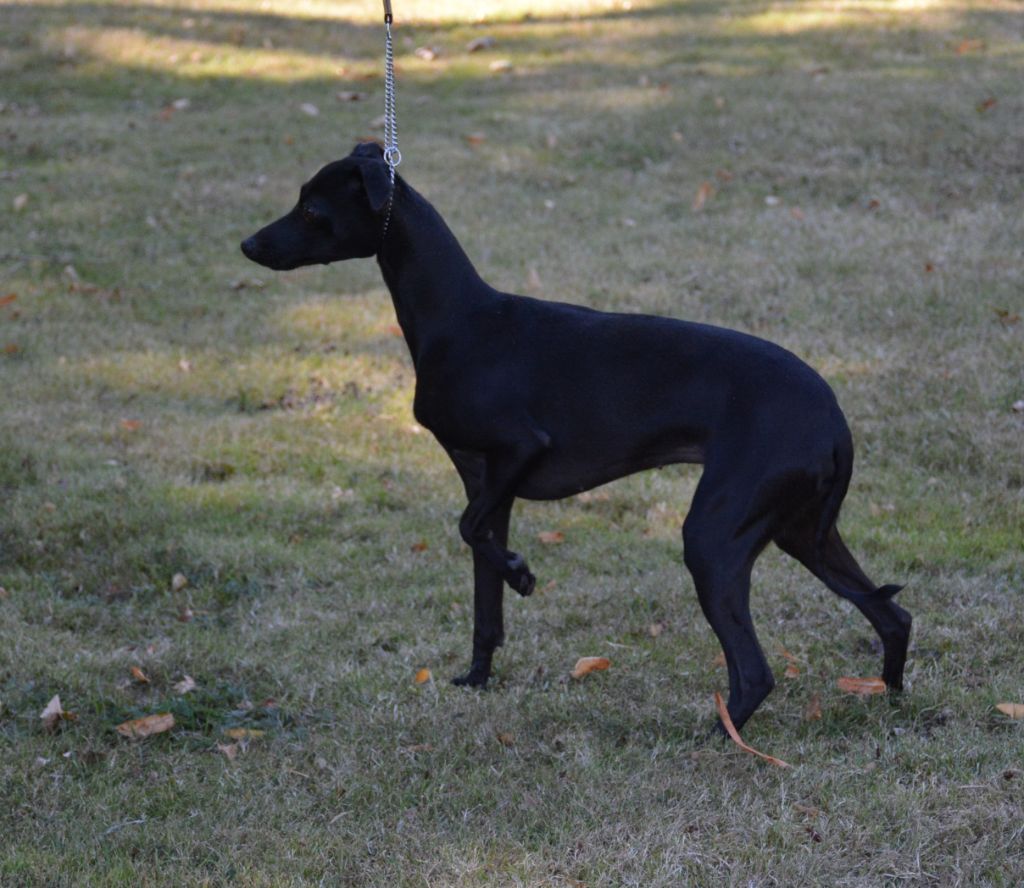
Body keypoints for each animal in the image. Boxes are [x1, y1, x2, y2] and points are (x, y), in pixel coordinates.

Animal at [241, 144, 913, 729]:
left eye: (311, 210)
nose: (247, 244)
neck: (459, 320)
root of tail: (833, 417)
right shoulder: (487, 481)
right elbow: (483, 591)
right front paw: (477, 677)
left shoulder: (518, 450)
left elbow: (468, 530)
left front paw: (520, 573)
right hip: (802, 533)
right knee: (893, 613)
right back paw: (892, 698)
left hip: (716, 539)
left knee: (755, 670)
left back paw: (719, 734)